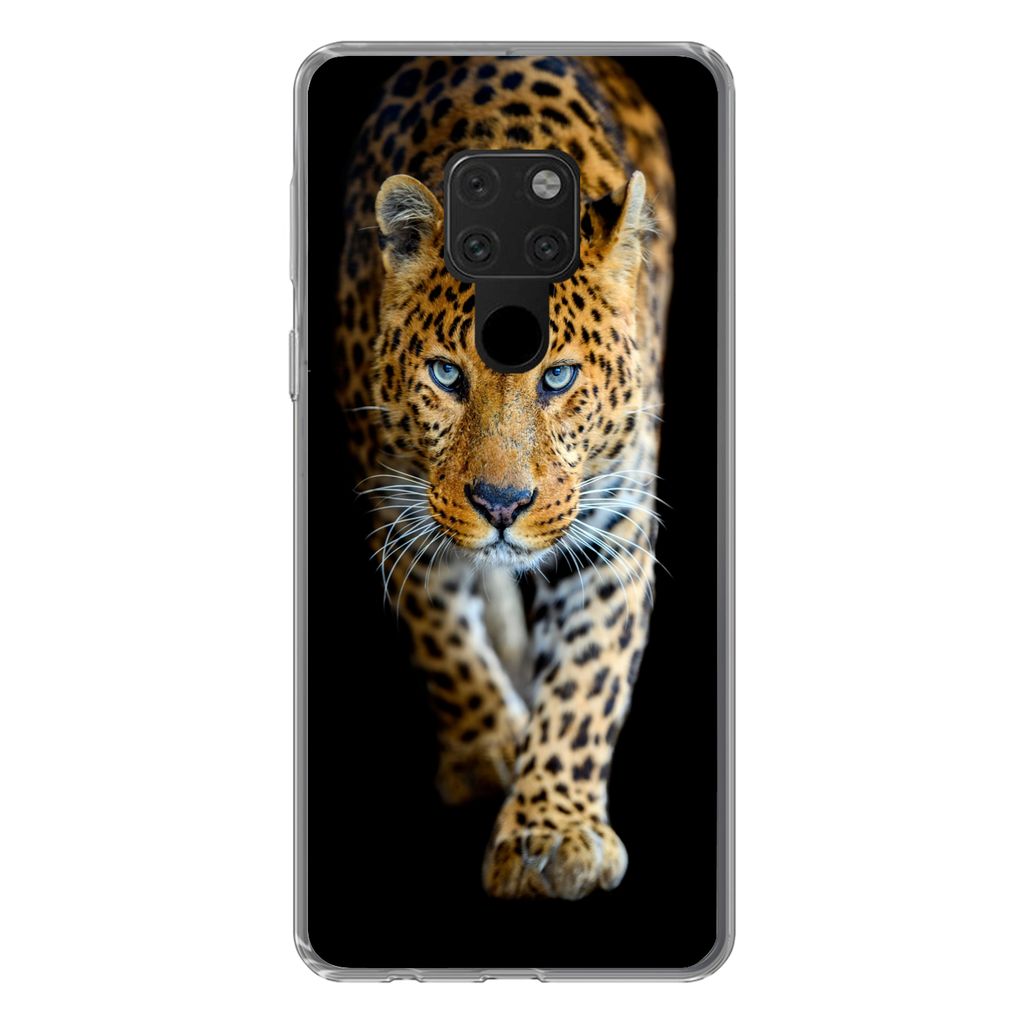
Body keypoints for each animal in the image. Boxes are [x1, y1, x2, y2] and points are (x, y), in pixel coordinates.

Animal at [333, 55, 674, 900]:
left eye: (557, 378)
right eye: (447, 376)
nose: (500, 504)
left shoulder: (616, 529)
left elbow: (588, 681)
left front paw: (553, 831)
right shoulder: (396, 505)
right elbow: (443, 640)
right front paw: (488, 747)